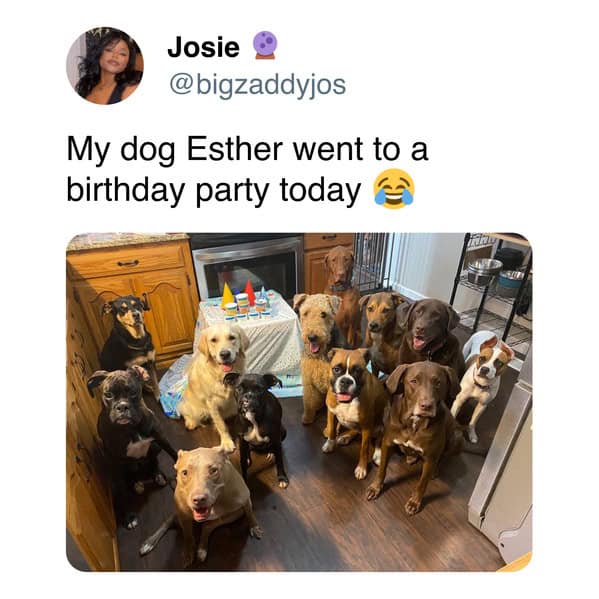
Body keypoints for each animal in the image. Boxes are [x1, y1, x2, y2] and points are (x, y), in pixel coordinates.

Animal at [87, 366, 178, 529]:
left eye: (133, 392)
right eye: (108, 394)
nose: (122, 406)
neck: (130, 428)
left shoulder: (161, 438)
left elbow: (173, 452)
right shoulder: (116, 463)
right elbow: (122, 493)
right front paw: (128, 518)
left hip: (155, 447)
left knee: (153, 461)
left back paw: (158, 475)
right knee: (130, 476)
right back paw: (137, 484)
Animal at [178, 323, 249, 452]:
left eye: (232, 337)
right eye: (213, 340)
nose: (225, 354)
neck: (226, 377)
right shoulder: (212, 404)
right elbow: (221, 425)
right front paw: (227, 442)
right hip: (195, 409)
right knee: (183, 410)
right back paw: (190, 422)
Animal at [293, 293, 347, 424]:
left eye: (323, 314)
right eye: (305, 313)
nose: (312, 337)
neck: (320, 355)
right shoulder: (308, 380)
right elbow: (308, 401)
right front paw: (307, 418)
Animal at [322, 348, 391, 479]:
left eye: (358, 370)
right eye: (336, 369)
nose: (346, 381)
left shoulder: (367, 426)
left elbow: (364, 448)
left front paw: (362, 468)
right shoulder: (331, 413)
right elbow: (332, 430)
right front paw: (330, 444)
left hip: (384, 420)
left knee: (379, 439)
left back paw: (378, 454)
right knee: (356, 430)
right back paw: (345, 437)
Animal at [366, 361, 462, 515]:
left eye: (438, 383)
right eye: (414, 381)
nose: (426, 406)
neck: (414, 423)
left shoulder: (429, 458)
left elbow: (422, 484)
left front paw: (414, 502)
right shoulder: (388, 444)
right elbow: (382, 470)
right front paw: (375, 487)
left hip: (457, 437)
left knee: (442, 456)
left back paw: (434, 469)